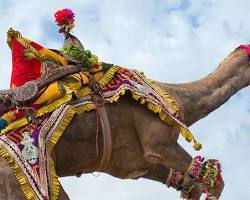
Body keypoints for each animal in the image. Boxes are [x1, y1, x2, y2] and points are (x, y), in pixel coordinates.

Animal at [0, 8, 248, 200]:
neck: (177, 98)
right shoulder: (158, 141)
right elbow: (216, 184)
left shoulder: (135, 164)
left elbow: (190, 183)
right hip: (18, 178)